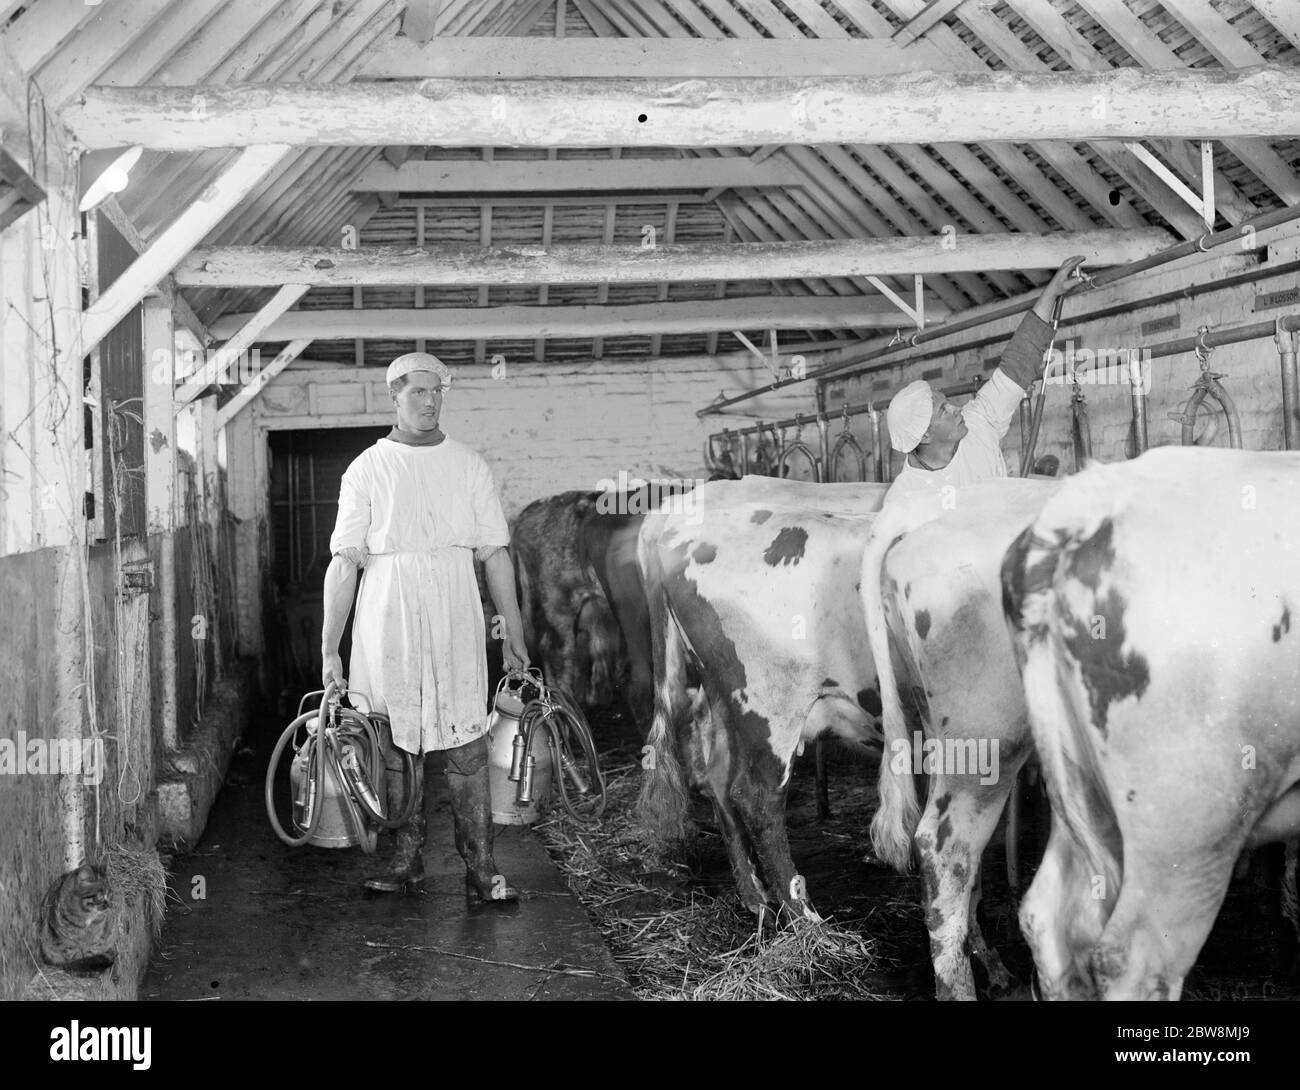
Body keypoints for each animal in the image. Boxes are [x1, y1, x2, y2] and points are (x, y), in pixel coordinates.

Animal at [637, 476, 904, 920]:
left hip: (728, 698)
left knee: (721, 780)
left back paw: (756, 898)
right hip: (772, 706)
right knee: (757, 797)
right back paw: (805, 919)